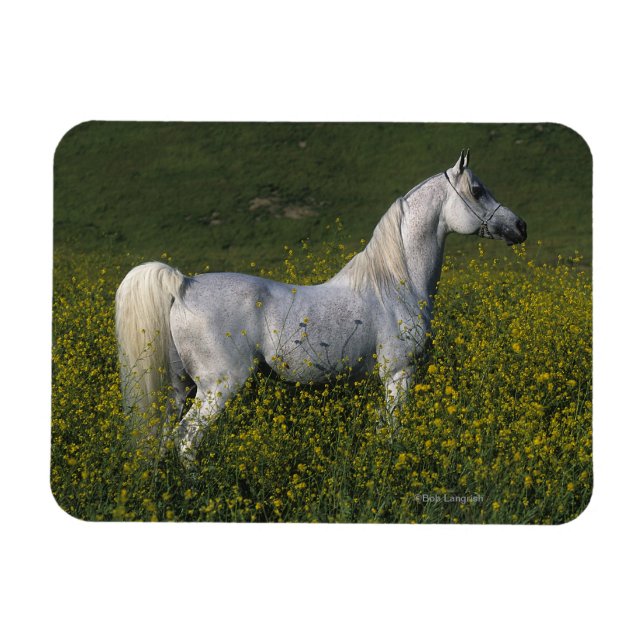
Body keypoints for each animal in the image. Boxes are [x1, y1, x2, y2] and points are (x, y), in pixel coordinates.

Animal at [115, 150, 527, 466]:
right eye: (477, 190)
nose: (520, 226)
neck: (396, 284)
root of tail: (183, 284)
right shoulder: (399, 374)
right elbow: (392, 432)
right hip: (218, 387)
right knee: (186, 440)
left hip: (178, 390)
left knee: (163, 439)